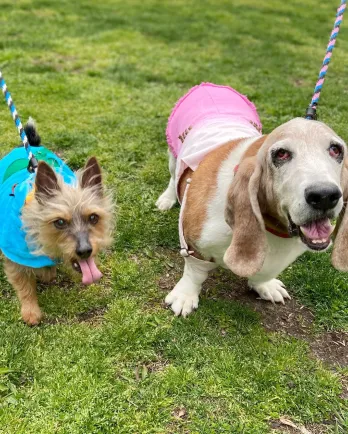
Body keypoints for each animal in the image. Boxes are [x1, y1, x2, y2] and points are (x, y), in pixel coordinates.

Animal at [3, 122, 114, 326]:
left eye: (93, 218)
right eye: (60, 222)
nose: (85, 251)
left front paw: (47, 271)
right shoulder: (14, 256)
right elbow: (23, 284)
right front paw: (30, 311)